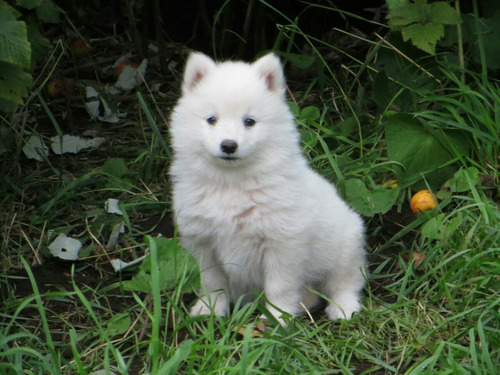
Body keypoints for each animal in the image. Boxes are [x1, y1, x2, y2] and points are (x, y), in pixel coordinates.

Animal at [170, 51, 366, 324]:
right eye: (211, 120)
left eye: (249, 121)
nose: (228, 145)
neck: (232, 183)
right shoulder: (203, 241)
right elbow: (212, 281)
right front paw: (210, 308)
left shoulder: (281, 244)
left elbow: (279, 286)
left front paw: (277, 318)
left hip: (345, 245)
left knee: (345, 282)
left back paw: (343, 308)